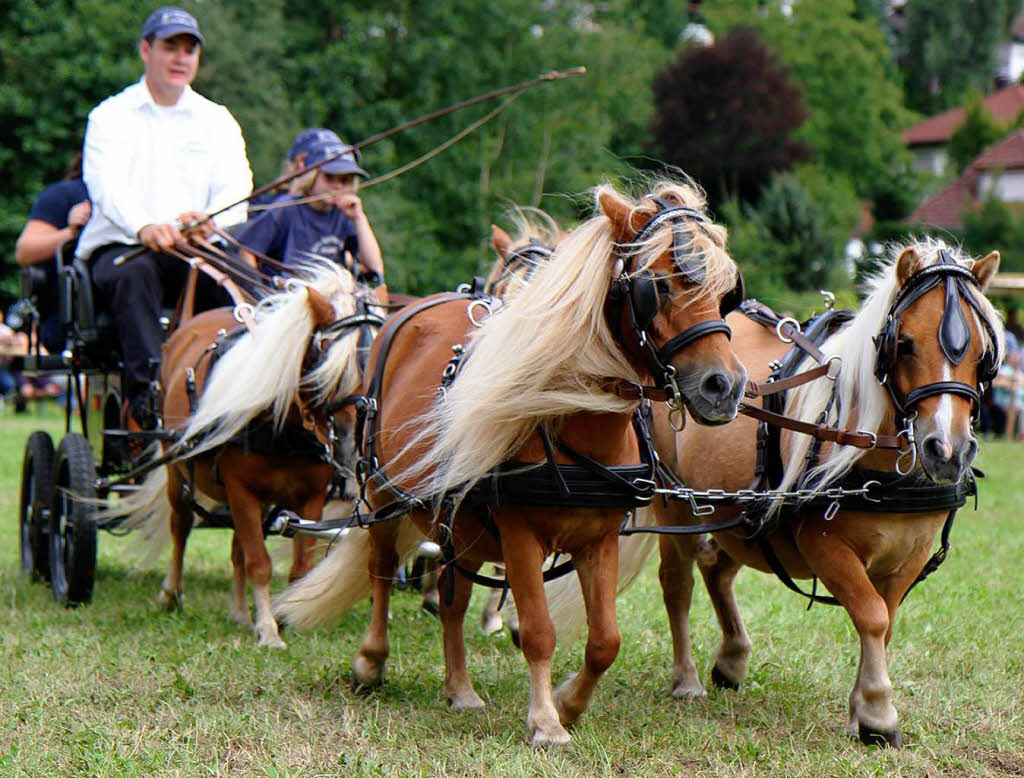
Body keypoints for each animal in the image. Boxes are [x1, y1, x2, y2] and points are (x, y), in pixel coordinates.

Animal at [110, 264, 374, 646]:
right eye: (323, 352)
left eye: (374, 351)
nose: (351, 436)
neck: (283, 425)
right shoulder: (242, 492)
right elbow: (259, 563)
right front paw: (268, 631)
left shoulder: (309, 498)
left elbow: (297, 565)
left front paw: (282, 616)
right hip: (178, 472)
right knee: (180, 528)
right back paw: (171, 593)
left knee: (236, 548)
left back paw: (238, 612)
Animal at [276, 179, 749, 745]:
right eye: (658, 285)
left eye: (727, 291)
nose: (724, 387)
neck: (575, 422)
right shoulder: (520, 536)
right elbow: (540, 631)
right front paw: (545, 720)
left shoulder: (598, 539)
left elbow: (605, 640)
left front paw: (568, 703)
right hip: (384, 494)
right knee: (382, 573)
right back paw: (371, 662)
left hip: (462, 525)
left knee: (452, 599)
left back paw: (460, 689)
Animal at [544, 238, 999, 749]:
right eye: (904, 344)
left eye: (983, 353)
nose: (948, 450)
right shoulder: (824, 546)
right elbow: (872, 616)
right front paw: (879, 715)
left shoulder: (909, 556)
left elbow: (885, 624)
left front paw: (860, 708)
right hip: (676, 502)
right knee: (678, 584)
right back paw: (687, 680)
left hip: (740, 516)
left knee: (717, 570)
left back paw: (732, 659)